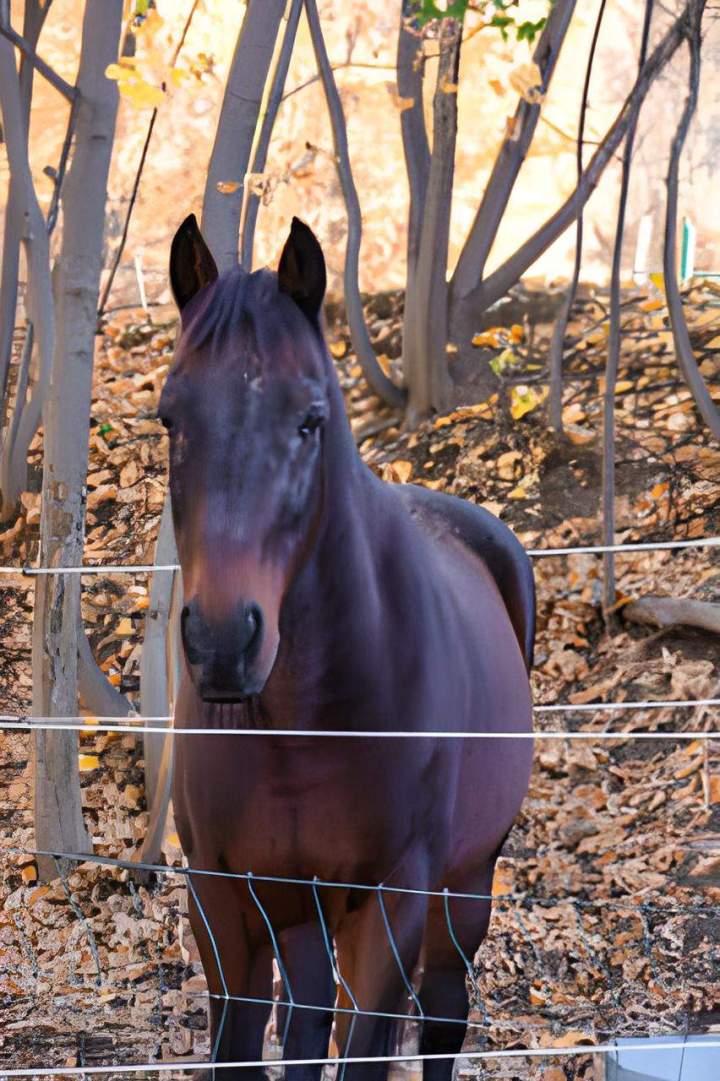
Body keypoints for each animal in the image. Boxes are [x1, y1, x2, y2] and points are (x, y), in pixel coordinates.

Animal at [162, 214, 535, 1081]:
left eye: (311, 420)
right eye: (170, 418)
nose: (223, 641)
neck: (305, 722)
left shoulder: (391, 902)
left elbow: (367, 1048)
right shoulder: (225, 898)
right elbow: (246, 1046)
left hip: (467, 884)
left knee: (442, 1017)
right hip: (303, 911)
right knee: (307, 1019)